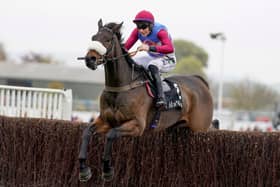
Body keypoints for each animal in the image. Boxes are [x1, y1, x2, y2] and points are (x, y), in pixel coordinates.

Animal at [77, 19, 213, 182]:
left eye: (108, 40)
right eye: (93, 38)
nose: (89, 59)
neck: (121, 87)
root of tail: (199, 81)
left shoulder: (137, 125)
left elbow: (111, 135)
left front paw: (107, 169)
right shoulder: (105, 120)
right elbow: (86, 132)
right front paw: (83, 169)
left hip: (200, 129)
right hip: (177, 128)